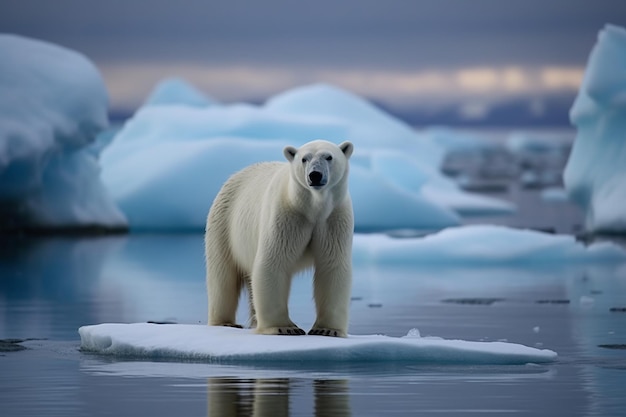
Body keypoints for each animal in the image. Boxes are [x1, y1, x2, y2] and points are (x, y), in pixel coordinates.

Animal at [204, 139, 352, 334]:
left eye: (329, 157)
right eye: (304, 158)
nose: (315, 175)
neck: (313, 208)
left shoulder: (334, 219)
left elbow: (332, 266)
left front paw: (328, 330)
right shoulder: (285, 216)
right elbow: (273, 262)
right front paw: (285, 328)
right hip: (224, 226)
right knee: (223, 276)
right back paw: (225, 322)